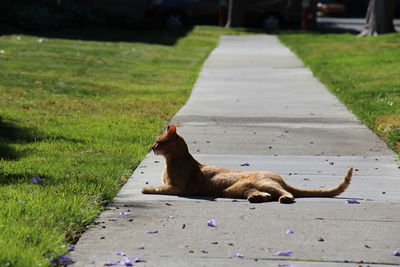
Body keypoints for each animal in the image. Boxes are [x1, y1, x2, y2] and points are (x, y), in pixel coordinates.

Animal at [141, 125, 354, 203]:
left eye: (158, 142)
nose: (151, 147)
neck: (173, 160)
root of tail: (279, 177)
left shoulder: (179, 188)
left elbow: (157, 188)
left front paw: (145, 189)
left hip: (258, 184)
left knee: (286, 193)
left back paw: (283, 198)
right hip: (235, 190)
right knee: (266, 195)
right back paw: (257, 198)